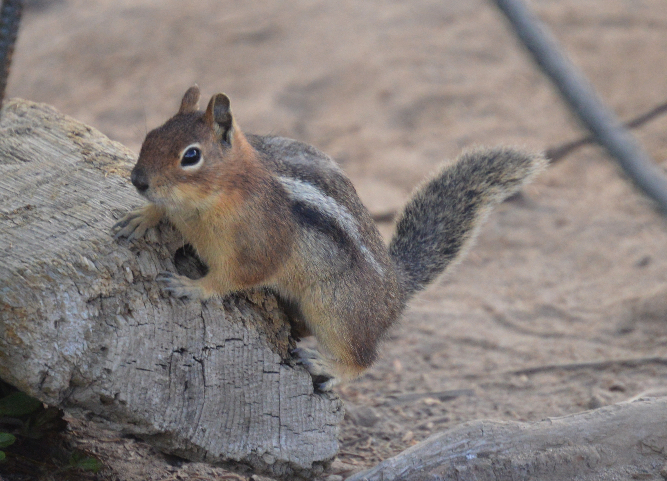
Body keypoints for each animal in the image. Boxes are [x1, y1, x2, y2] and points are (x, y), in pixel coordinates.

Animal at [112, 85, 544, 390]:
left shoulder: (262, 242)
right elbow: (163, 212)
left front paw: (193, 286)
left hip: (335, 310)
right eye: (150, 134)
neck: (224, 190)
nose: (138, 180)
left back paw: (329, 366)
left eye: (191, 156)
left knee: (364, 358)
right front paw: (143, 216)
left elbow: (237, 276)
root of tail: (397, 291)